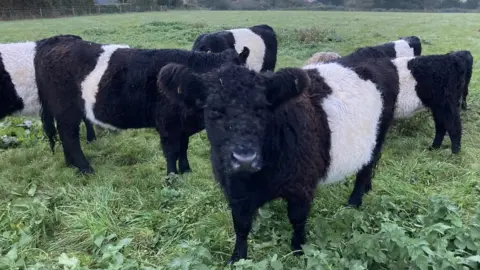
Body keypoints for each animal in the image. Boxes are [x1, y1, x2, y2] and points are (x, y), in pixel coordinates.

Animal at [33, 35, 249, 174]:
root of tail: (53, 42)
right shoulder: (167, 125)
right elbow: (172, 152)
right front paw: (172, 178)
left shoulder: (181, 127)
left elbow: (184, 148)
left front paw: (186, 170)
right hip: (66, 110)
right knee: (70, 137)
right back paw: (86, 169)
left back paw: (71, 165)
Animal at [157, 56, 398, 262]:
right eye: (214, 110)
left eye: (262, 108)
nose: (244, 159)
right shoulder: (234, 188)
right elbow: (240, 225)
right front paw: (237, 257)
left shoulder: (301, 185)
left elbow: (298, 219)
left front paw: (299, 249)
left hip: (378, 136)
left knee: (367, 167)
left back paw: (355, 200)